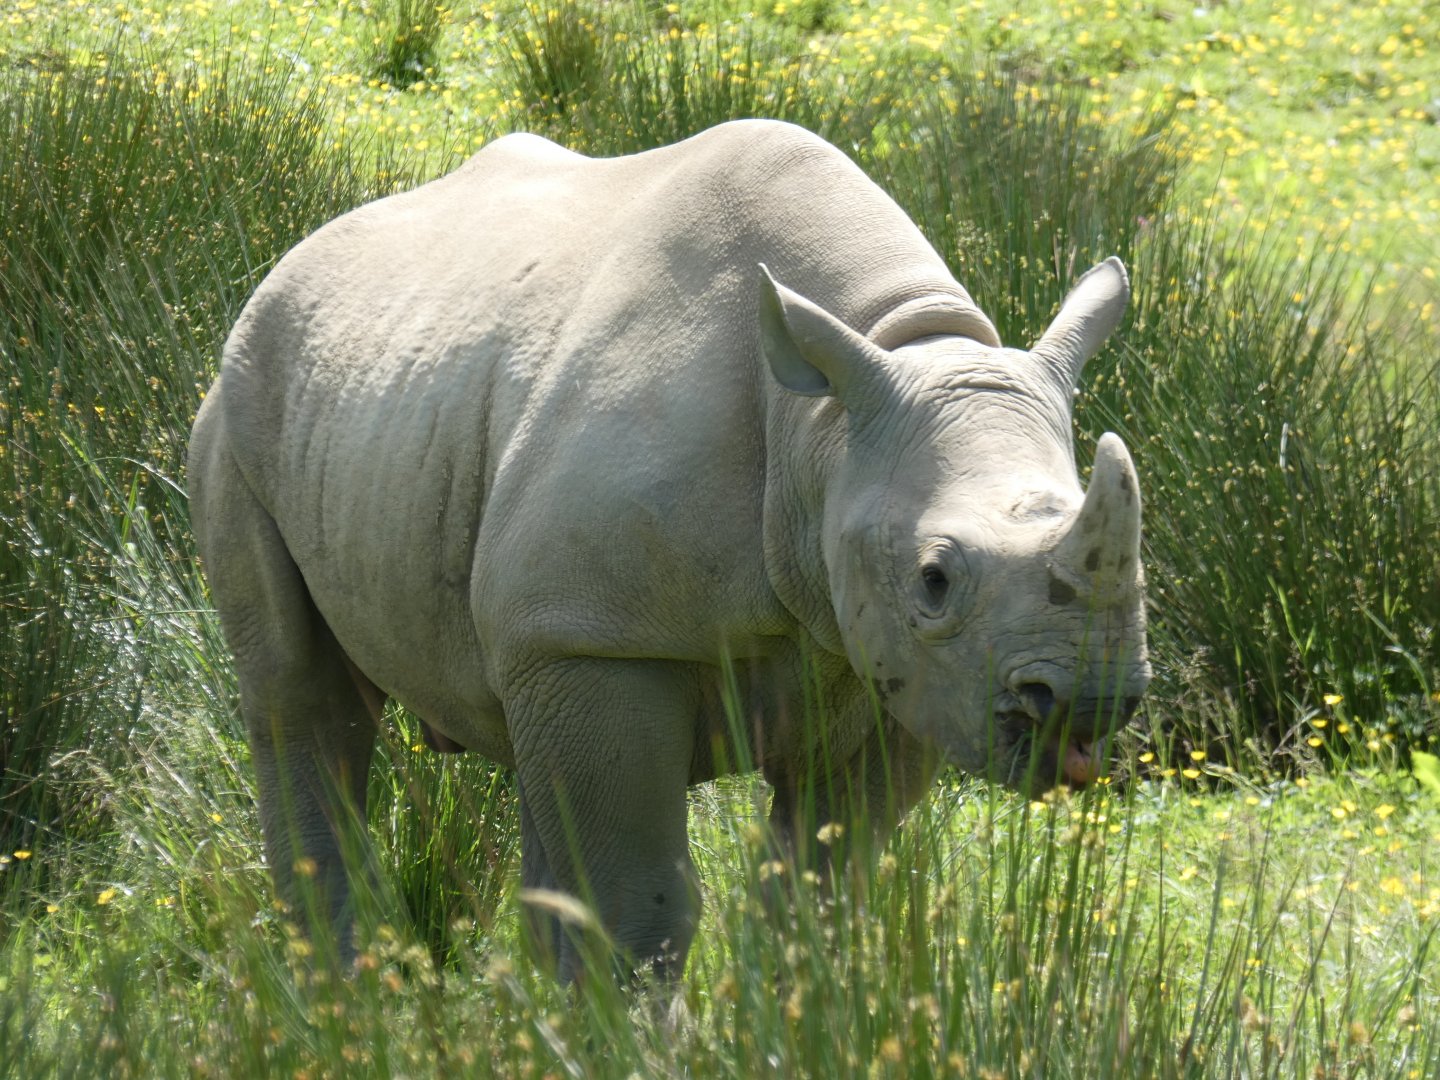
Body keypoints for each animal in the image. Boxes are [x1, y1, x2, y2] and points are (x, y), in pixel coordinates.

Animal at [188, 119, 1150, 982]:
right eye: (935, 579)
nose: (1088, 701)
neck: (823, 429)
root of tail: (288, 264)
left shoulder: (894, 671)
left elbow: (819, 891)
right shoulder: (599, 638)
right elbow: (638, 905)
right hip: (239, 404)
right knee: (301, 699)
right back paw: (350, 1007)